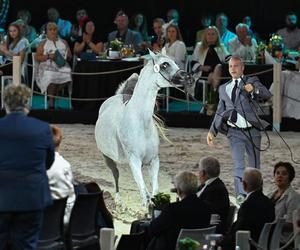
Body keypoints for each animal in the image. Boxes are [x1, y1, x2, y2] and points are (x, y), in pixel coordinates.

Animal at [95, 51, 191, 207]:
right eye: (165, 64)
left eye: (175, 62)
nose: (188, 77)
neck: (141, 123)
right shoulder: (134, 160)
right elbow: (146, 195)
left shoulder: (154, 161)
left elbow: (154, 191)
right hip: (107, 156)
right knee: (116, 174)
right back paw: (118, 200)